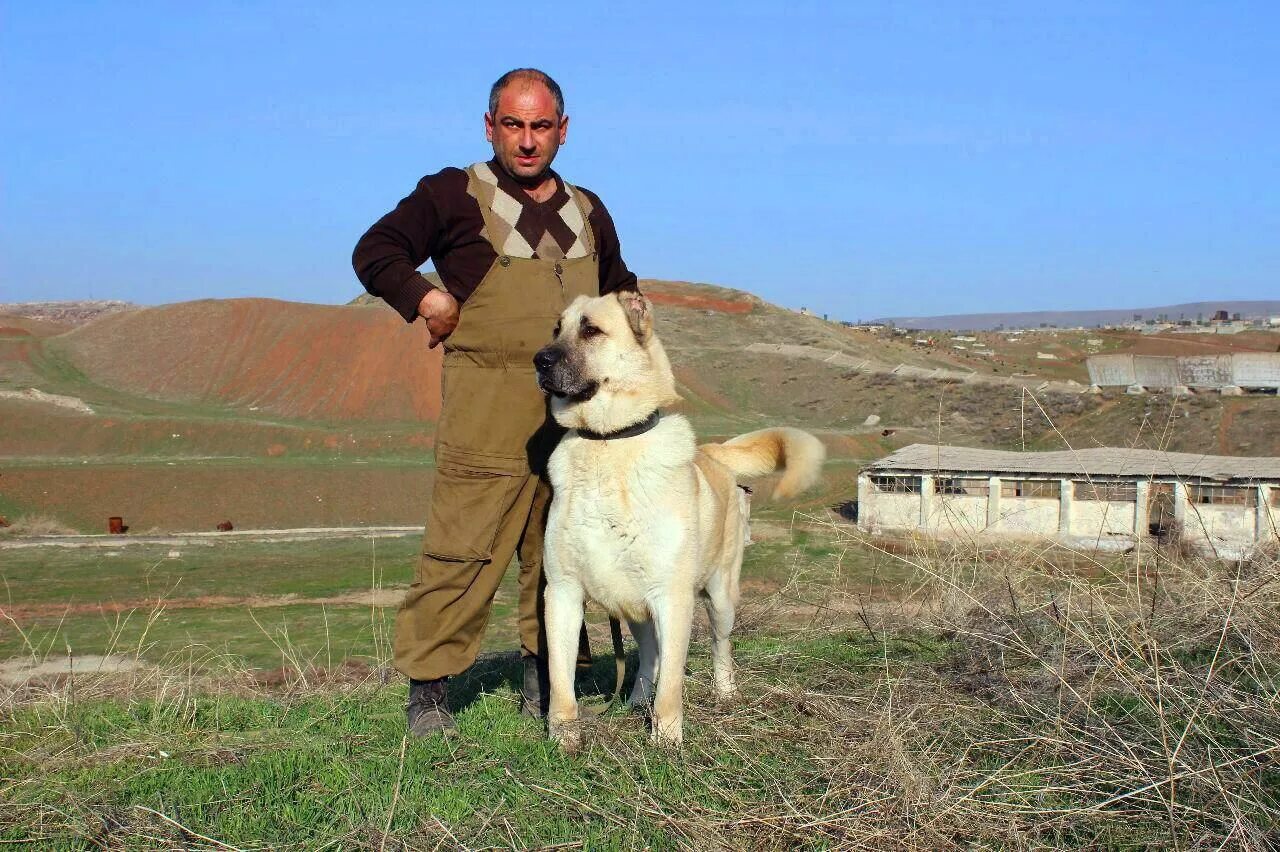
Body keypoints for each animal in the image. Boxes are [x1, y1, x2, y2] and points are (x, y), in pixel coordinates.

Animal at [532, 290, 824, 741]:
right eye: (556, 328)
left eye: (591, 329)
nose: (539, 360)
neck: (608, 443)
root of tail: (713, 454)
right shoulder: (562, 591)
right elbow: (562, 680)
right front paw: (562, 739)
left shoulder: (672, 597)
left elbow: (672, 681)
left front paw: (666, 739)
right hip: (633, 604)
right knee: (649, 655)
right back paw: (636, 700)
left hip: (720, 597)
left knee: (720, 647)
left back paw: (725, 693)